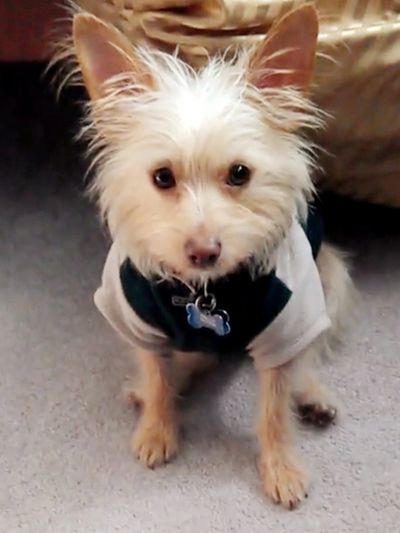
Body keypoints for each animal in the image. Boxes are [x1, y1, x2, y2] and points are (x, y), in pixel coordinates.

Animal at [66, 4, 353, 509]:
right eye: (162, 177)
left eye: (240, 174)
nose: (205, 252)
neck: (207, 292)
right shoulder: (134, 318)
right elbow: (155, 373)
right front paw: (157, 428)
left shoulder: (289, 324)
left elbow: (275, 407)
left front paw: (281, 467)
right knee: (189, 361)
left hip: (330, 282)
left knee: (308, 356)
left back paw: (312, 395)